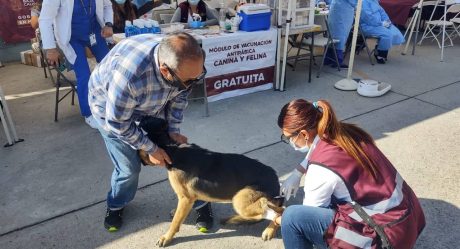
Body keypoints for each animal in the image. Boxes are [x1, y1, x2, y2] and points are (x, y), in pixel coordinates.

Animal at [138, 118, 284, 247]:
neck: (171, 148)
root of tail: (276, 180)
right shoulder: (186, 198)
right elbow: (179, 213)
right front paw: (175, 212)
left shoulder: (186, 198)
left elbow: (175, 222)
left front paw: (166, 237)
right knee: (276, 210)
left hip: (239, 199)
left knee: (275, 211)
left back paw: (267, 230)